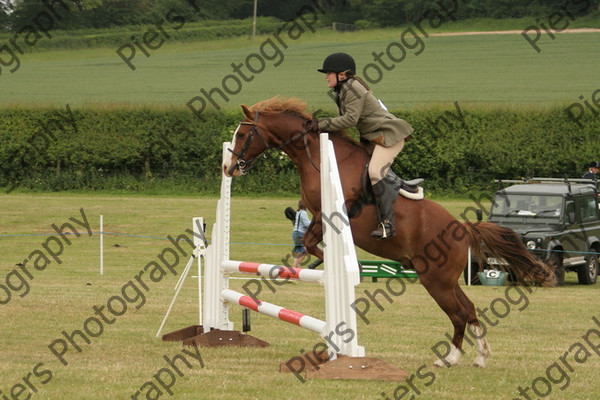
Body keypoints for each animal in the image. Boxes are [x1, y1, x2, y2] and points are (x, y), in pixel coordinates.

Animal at [223, 97, 556, 368]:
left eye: (242, 134)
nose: (229, 168)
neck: (315, 156)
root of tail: (462, 227)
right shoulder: (315, 214)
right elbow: (306, 241)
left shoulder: (328, 215)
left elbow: (310, 242)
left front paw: (346, 266)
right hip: (445, 280)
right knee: (468, 308)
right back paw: (480, 355)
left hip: (436, 280)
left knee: (458, 314)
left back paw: (449, 358)